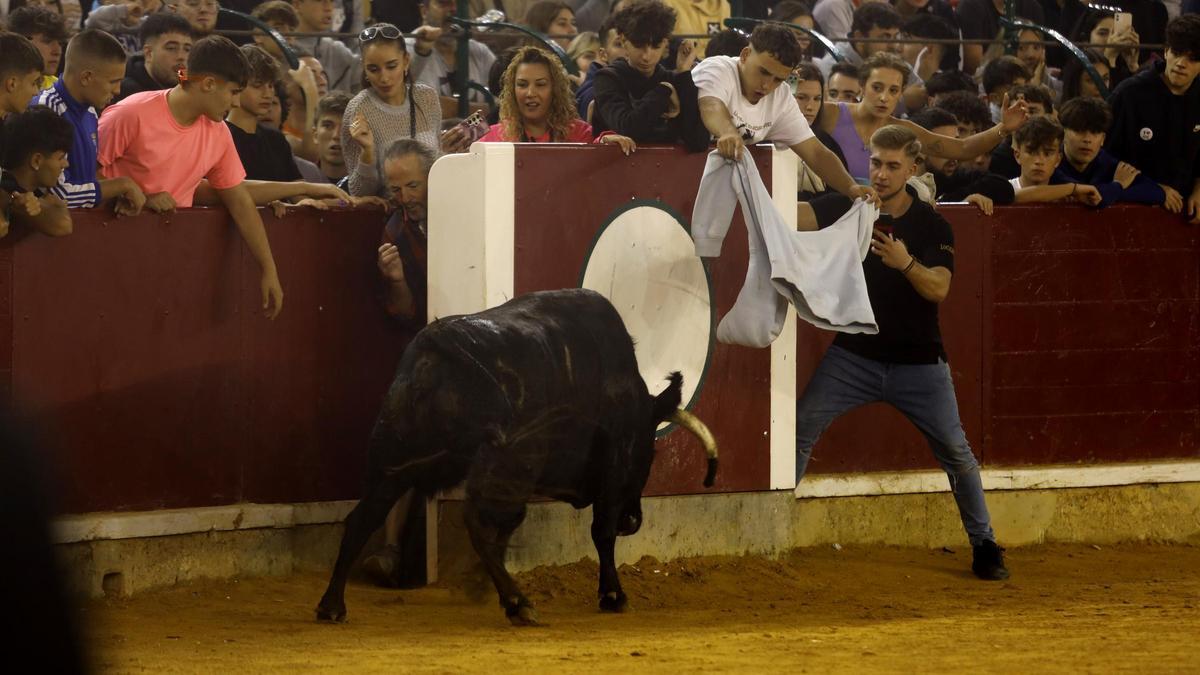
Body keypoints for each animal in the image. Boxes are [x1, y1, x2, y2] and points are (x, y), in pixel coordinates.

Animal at [314, 285, 715, 624]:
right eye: (651, 452)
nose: (632, 520)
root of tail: (440, 345)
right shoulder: (613, 472)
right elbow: (601, 532)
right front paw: (613, 595)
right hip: (505, 468)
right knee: (479, 522)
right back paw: (517, 602)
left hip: (392, 464)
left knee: (362, 520)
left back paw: (332, 605)